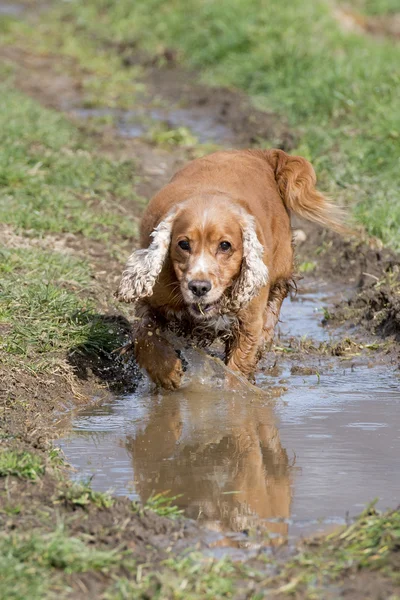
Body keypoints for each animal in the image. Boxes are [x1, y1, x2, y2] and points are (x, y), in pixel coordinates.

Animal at [116, 150, 344, 390]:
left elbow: (238, 365)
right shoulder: (153, 301)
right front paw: (166, 373)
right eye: (183, 244)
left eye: (225, 245)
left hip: (281, 268)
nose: (199, 287)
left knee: (275, 302)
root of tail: (259, 153)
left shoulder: (249, 321)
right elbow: (145, 333)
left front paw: (233, 394)